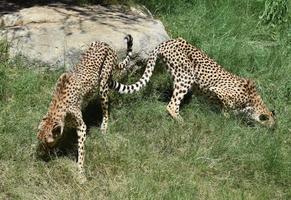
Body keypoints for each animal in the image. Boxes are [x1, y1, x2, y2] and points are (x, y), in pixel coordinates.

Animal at [36, 35, 133, 174]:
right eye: (40, 140)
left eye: (47, 142)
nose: (44, 151)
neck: (58, 105)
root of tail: (106, 44)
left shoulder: (81, 127)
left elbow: (81, 150)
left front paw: (80, 170)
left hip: (103, 85)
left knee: (105, 110)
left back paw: (104, 126)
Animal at [111, 37, 276, 127]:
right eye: (270, 125)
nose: (272, 131)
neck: (253, 101)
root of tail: (166, 42)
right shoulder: (218, 91)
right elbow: (226, 107)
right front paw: (226, 118)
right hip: (187, 77)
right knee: (172, 105)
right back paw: (182, 122)